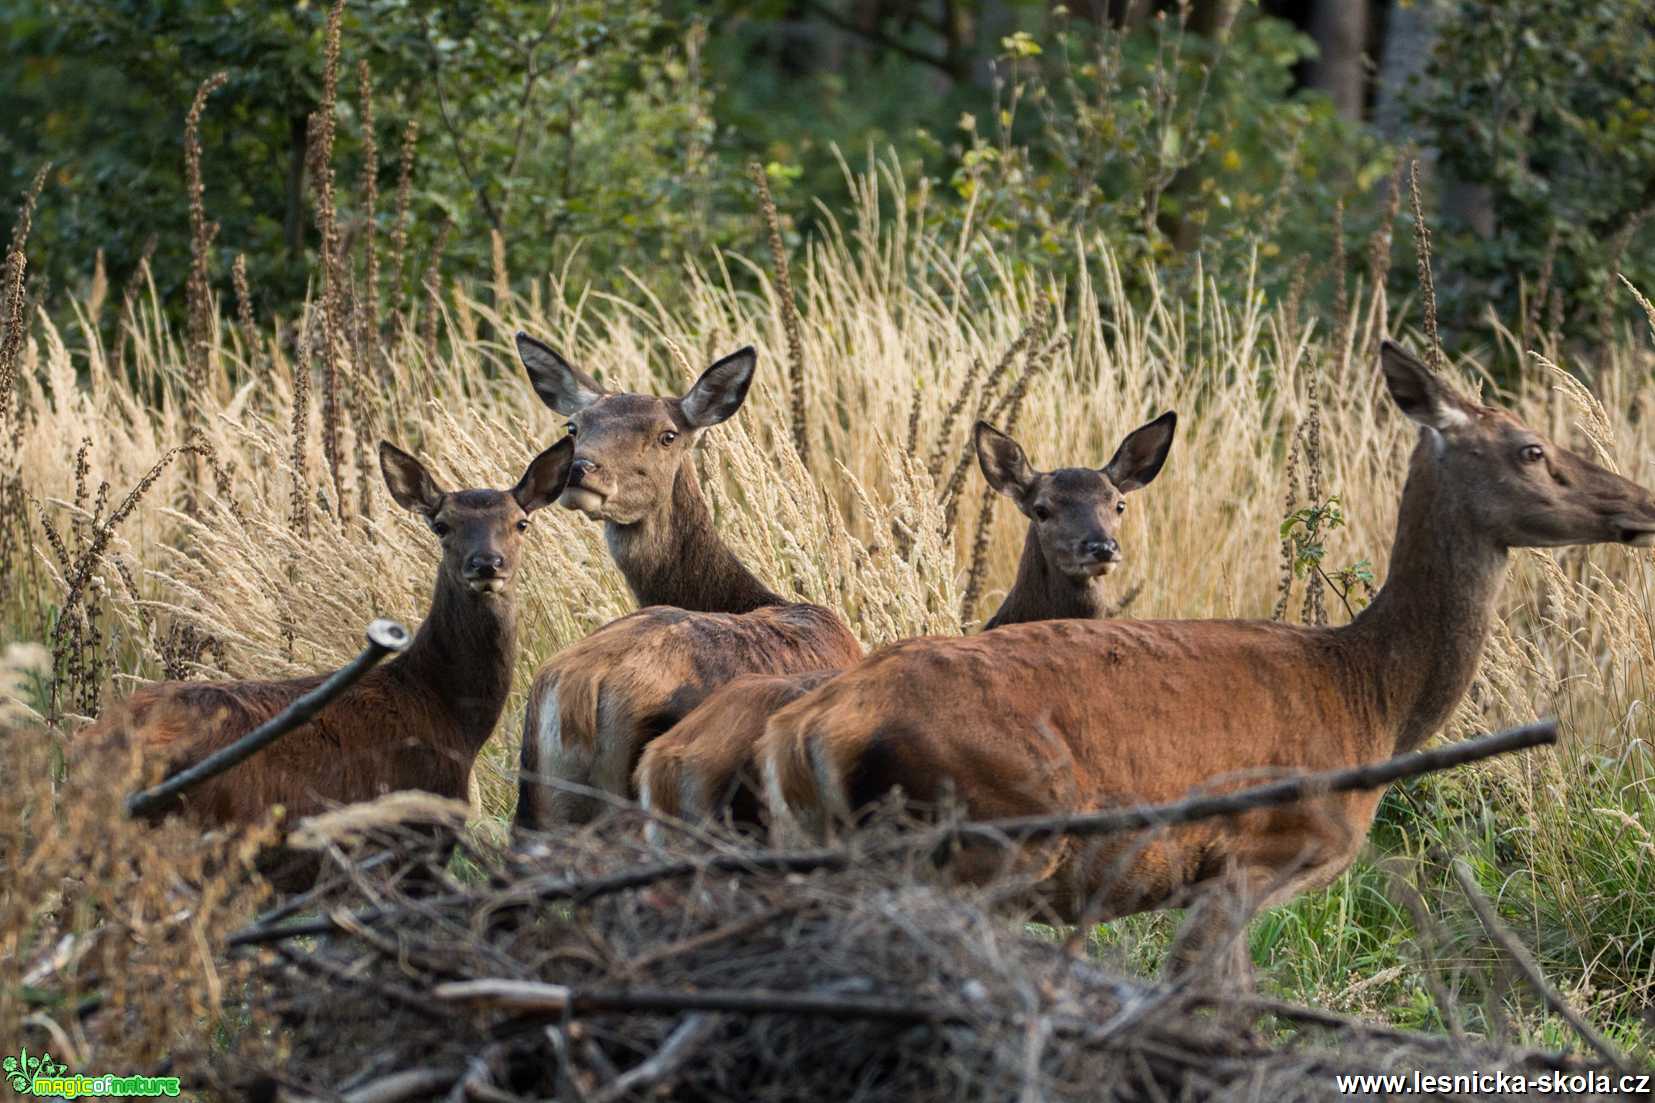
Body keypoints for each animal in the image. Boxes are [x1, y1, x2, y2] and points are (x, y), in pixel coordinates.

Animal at [757, 339, 1655, 980]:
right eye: (1530, 448)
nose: (1640, 502)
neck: (1368, 697)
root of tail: (806, 729)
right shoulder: (1260, 850)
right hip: (987, 836)